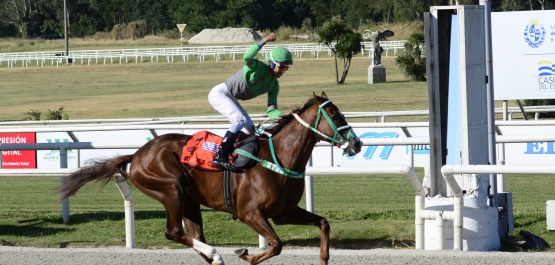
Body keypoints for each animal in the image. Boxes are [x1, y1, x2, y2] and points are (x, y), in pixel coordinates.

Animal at [59, 91, 364, 264]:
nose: (358, 143)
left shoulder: (284, 212)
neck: (279, 157)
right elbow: (276, 245)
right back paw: (216, 253)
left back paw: (212, 255)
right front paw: (245, 255)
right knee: (173, 232)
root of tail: (137, 154)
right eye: (336, 115)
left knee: (192, 235)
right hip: (170, 189)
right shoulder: (250, 212)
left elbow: (323, 223)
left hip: (190, 201)